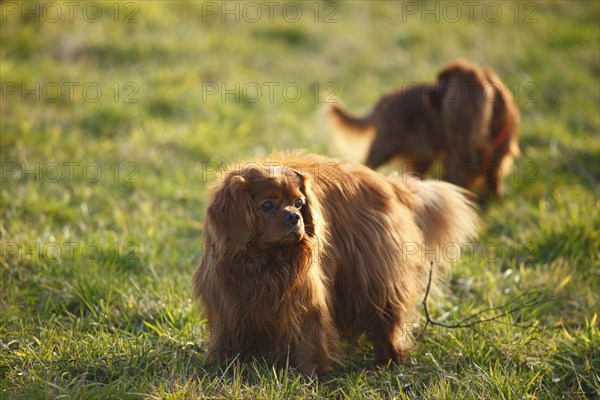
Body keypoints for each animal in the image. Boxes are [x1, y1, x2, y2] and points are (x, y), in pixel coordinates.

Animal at [193, 152, 478, 376]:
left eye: (299, 203)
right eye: (267, 205)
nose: (294, 216)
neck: (266, 260)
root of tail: (389, 184)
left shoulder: (305, 300)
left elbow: (308, 338)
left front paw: (309, 376)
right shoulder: (229, 303)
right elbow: (230, 338)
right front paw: (227, 366)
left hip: (374, 279)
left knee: (387, 321)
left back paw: (387, 361)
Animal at [330, 59, 516, 200]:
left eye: (444, 84)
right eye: (439, 81)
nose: (427, 92)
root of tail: (384, 100)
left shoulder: (497, 159)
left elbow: (493, 180)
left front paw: (496, 200)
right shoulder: (455, 163)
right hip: (382, 149)